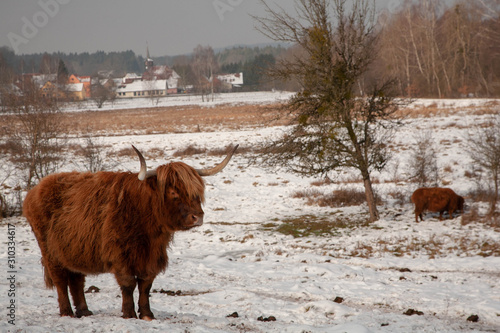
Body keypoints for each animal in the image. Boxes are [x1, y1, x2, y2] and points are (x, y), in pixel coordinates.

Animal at [24, 145, 239, 320]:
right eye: (173, 192)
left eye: (196, 192)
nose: (197, 217)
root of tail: (35, 190)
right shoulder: (120, 254)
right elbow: (128, 284)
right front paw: (128, 313)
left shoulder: (152, 257)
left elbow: (145, 285)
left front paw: (147, 314)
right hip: (50, 251)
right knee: (60, 280)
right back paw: (67, 312)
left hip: (74, 249)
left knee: (77, 280)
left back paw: (84, 311)